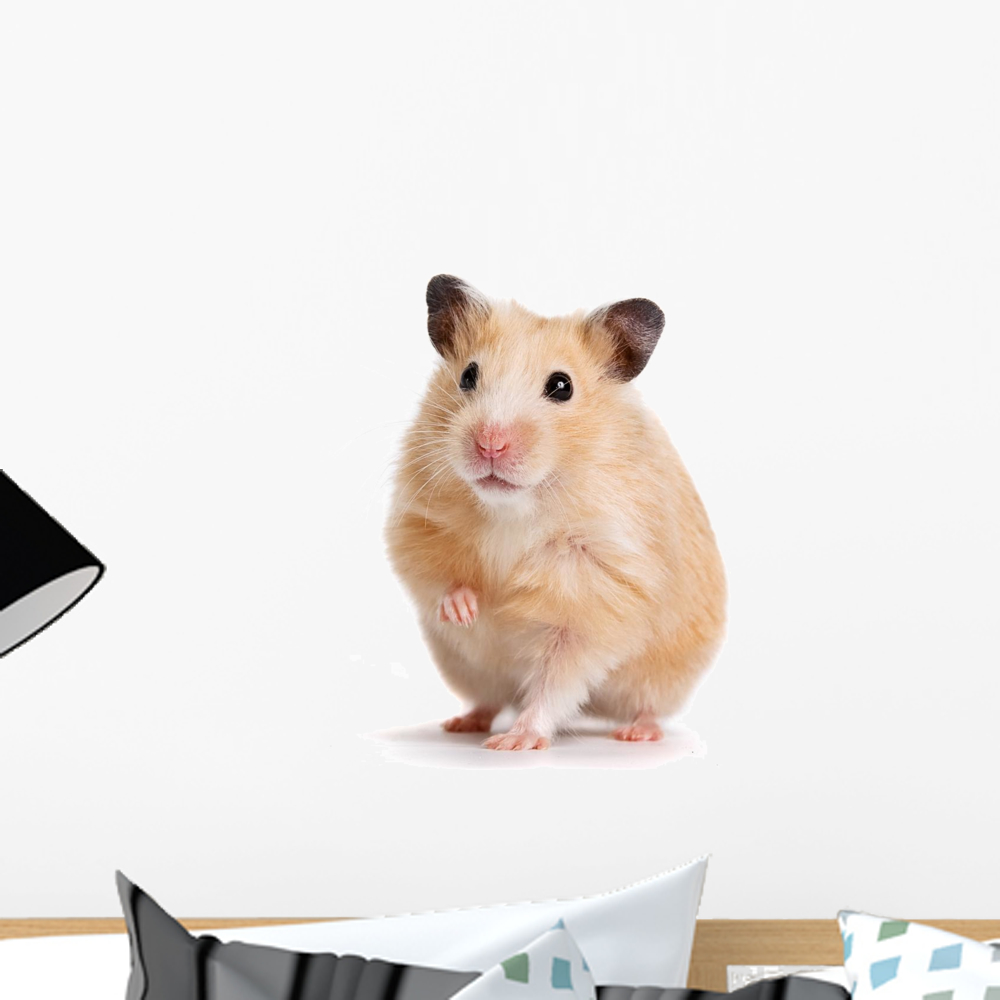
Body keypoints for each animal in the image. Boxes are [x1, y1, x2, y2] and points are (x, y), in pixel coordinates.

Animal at [385, 275, 726, 750]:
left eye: (562, 386)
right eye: (468, 375)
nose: (490, 444)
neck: (514, 507)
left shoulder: (596, 596)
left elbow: (556, 679)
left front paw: (515, 742)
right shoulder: (417, 521)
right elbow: (436, 576)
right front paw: (467, 610)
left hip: (665, 675)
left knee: (646, 705)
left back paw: (636, 733)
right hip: (468, 668)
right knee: (489, 698)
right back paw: (462, 723)